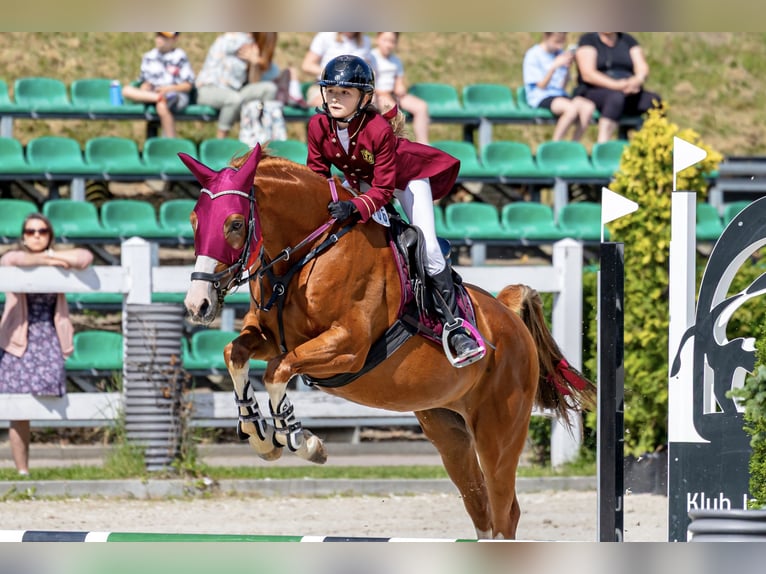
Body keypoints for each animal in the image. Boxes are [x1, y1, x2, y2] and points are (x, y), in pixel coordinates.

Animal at [180, 145, 595, 540]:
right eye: (195, 220)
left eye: (235, 223)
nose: (198, 304)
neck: (308, 254)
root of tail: (508, 315)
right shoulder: (272, 338)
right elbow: (235, 353)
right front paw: (259, 434)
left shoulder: (346, 347)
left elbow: (276, 372)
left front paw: (299, 438)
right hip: (448, 430)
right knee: (481, 508)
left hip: (498, 434)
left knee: (505, 512)